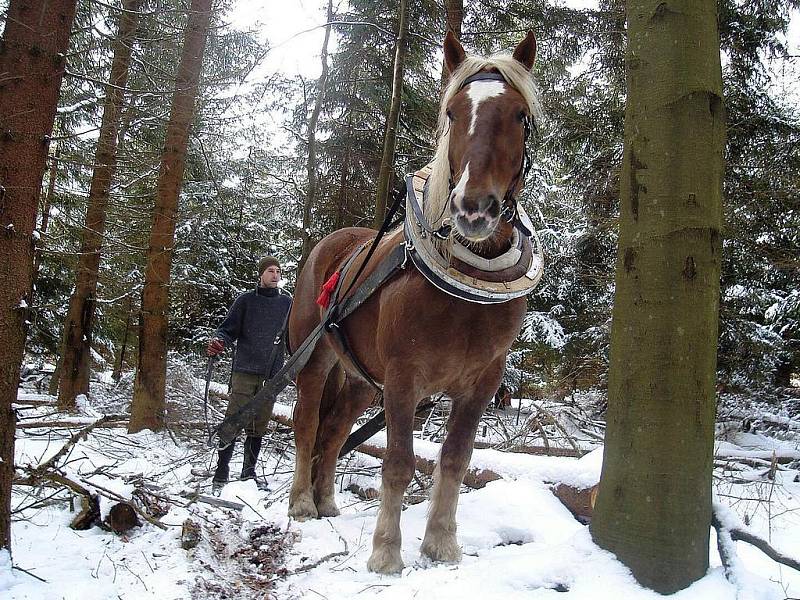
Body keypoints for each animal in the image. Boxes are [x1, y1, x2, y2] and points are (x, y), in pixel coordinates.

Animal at [284, 30, 540, 576]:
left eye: (518, 115)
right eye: (453, 113)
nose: (474, 208)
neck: (467, 289)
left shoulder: (481, 383)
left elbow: (456, 458)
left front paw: (441, 544)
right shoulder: (404, 377)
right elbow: (398, 462)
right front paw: (386, 552)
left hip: (363, 380)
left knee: (334, 431)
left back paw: (327, 500)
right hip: (315, 360)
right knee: (307, 422)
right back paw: (301, 502)